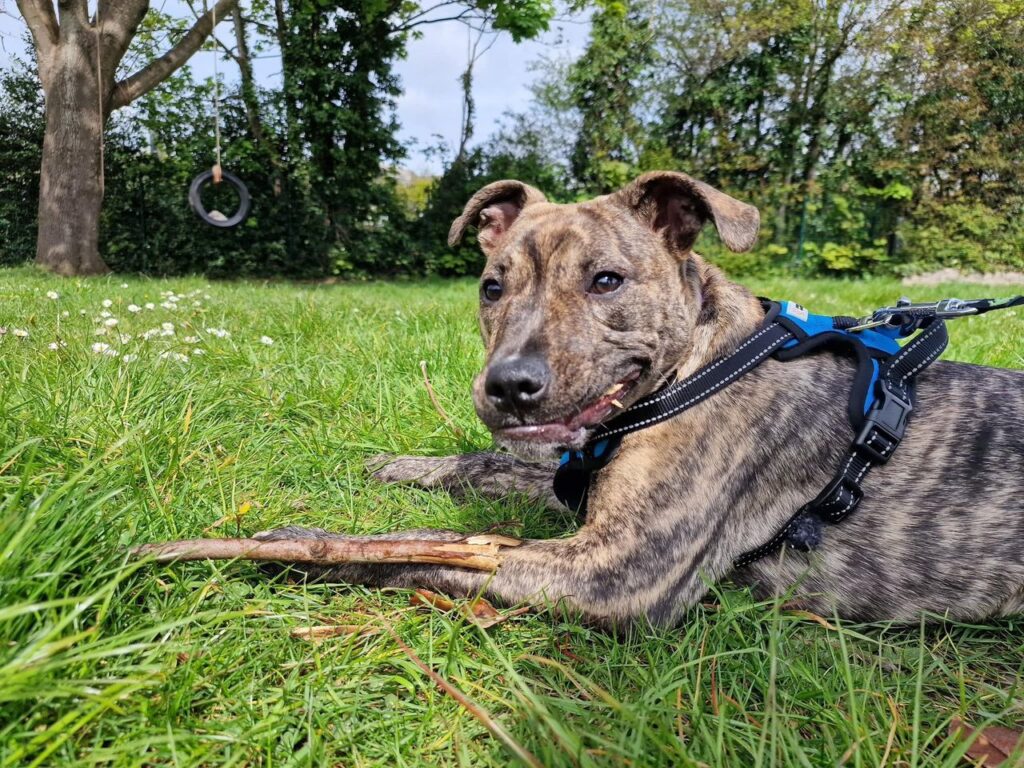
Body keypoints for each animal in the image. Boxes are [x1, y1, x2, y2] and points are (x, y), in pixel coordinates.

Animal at [256, 173, 1024, 626]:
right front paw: (398, 465)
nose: (509, 386)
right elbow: (484, 463)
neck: (696, 366)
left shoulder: (620, 567)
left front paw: (301, 545)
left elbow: (441, 549)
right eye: (492, 287)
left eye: (607, 281)